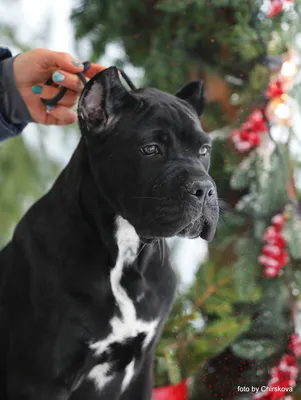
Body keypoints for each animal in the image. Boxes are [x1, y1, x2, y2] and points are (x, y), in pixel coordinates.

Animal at [0, 67, 217, 398]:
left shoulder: (141, 369)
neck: (124, 253)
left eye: (204, 150)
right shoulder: (41, 379)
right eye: (151, 149)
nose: (204, 189)